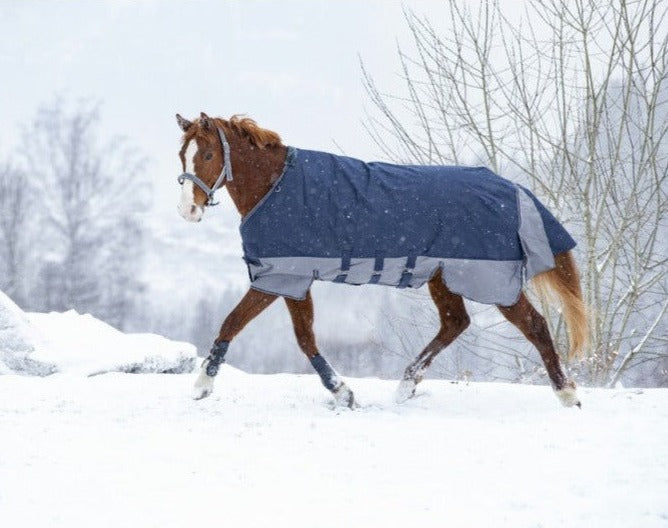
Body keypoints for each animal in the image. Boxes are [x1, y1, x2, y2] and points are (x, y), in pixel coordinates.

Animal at [175, 112, 588, 409]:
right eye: (182, 156)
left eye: (208, 155)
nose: (187, 212)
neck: (274, 186)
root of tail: (512, 189)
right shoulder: (289, 278)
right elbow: (304, 338)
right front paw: (343, 392)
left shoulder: (280, 277)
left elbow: (234, 322)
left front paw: (202, 385)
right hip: (443, 278)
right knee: (455, 323)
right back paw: (406, 386)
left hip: (487, 280)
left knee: (534, 325)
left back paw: (567, 394)